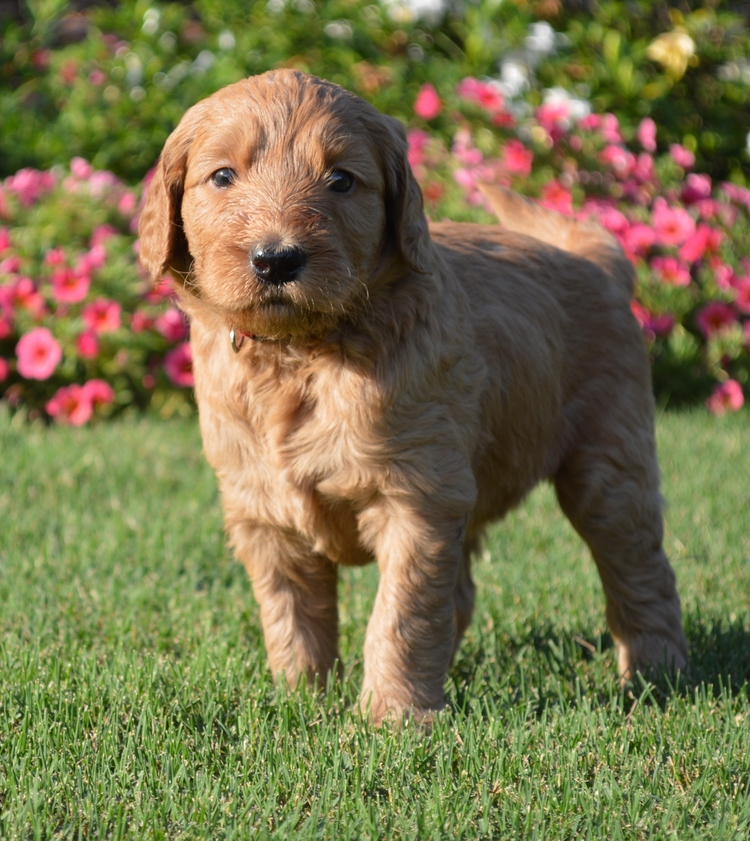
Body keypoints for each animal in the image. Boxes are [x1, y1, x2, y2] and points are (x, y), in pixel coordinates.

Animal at [138, 70, 692, 720]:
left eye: (341, 180)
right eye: (223, 176)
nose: (276, 259)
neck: (303, 353)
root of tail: (593, 261)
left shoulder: (418, 497)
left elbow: (402, 614)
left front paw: (394, 717)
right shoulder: (262, 510)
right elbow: (291, 612)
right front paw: (301, 696)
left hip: (608, 463)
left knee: (639, 565)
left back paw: (655, 674)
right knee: (464, 592)